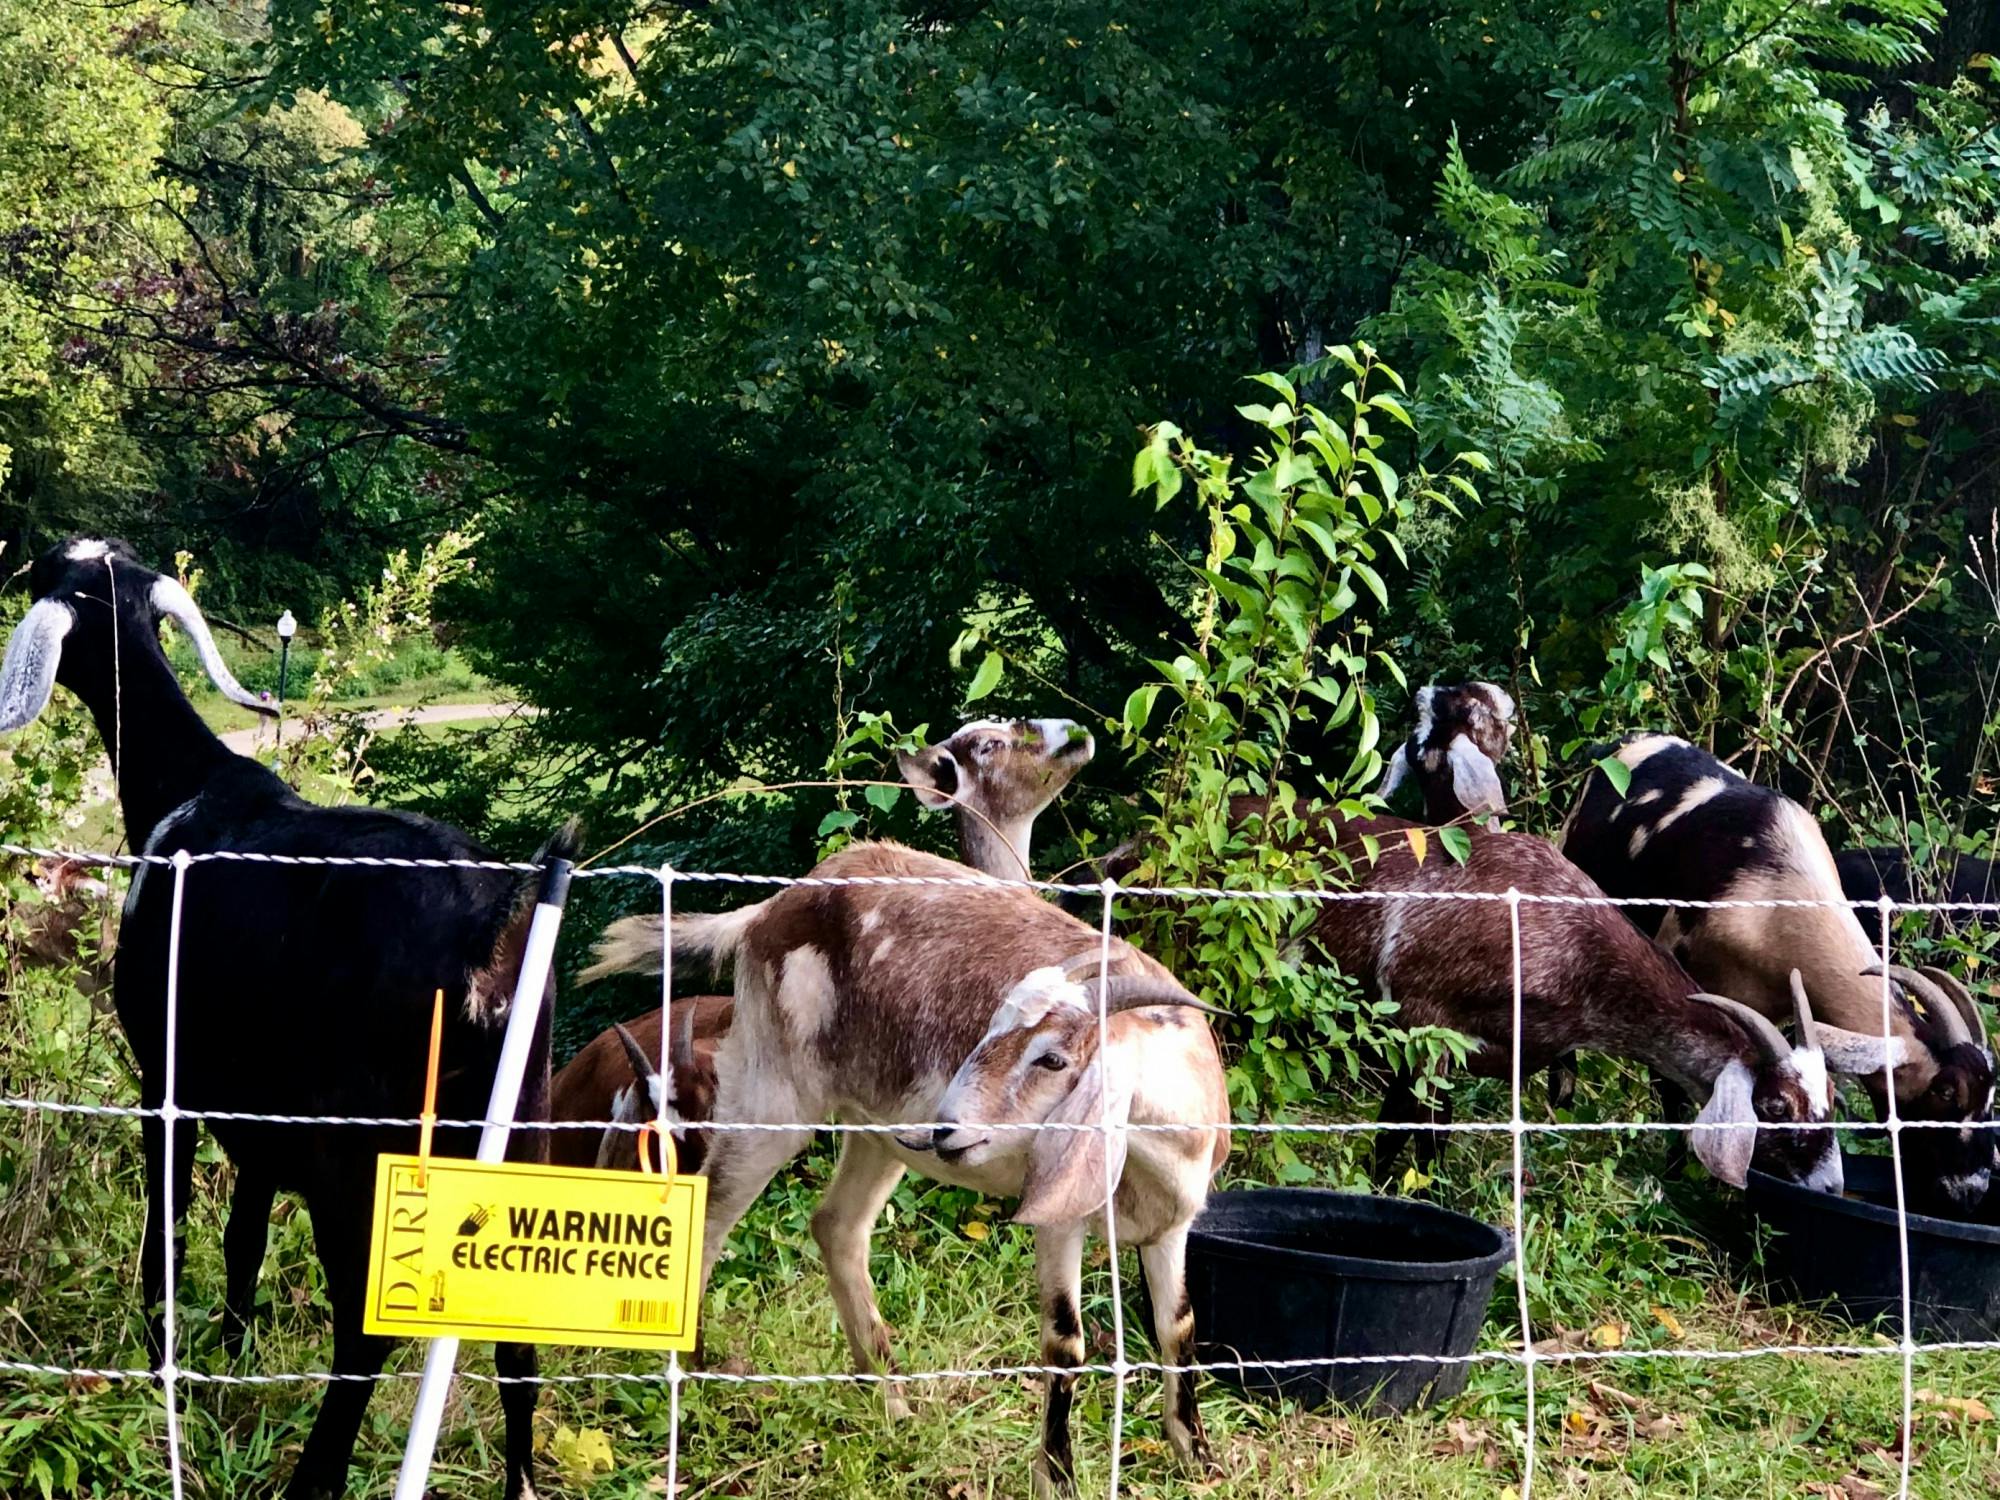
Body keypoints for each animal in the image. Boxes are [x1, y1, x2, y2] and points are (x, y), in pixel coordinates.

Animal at [0, 538, 564, 1500]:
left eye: (49, 576)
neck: (189, 789)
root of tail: (489, 932)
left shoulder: (168, 1077)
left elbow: (167, 1237)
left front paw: (164, 1368)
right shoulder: (257, 1120)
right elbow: (243, 1238)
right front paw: (233, 1360)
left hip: (360, 1150)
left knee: (365, 1328)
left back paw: (314, 1478)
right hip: (523, 1123)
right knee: (518, 1338)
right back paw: (518, 1481)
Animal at [588, 840, 1228, 1498]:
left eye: (1052, 1059)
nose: (946, 1128)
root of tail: (774, 906)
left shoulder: (1173, 1224)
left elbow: (1179, 1327)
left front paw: (1197, 1459)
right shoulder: (1058, 1220)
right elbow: (1065, 1341)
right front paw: (1057, 1478)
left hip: (877, 1132)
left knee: (837, 1226)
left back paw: (891, 1402)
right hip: (772, 1098)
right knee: (713, 1214)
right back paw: (691, 1376)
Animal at [1560, 734, 1996, 1216]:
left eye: (1988, 1098)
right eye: (1946, 1093)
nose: (1972, 1192)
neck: (1772, 891)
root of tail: (1627, 742)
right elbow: (1672, 1078)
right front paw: (1677, 1175)